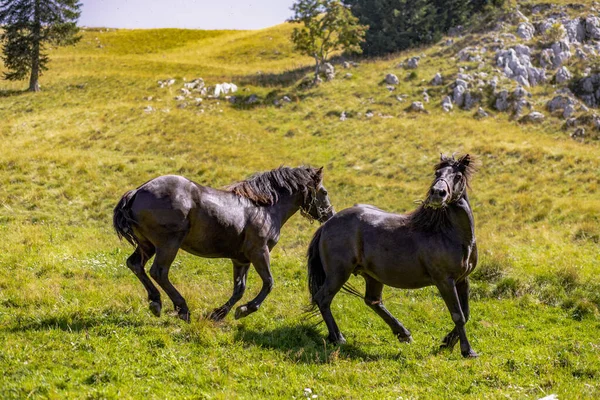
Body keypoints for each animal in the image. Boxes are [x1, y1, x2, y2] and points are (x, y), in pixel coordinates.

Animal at [113, 166, 336, 322]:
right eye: (324, 192)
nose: (330, 215)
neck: (264, 208)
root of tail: (137, 192)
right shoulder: (259, 252)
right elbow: (268, 283)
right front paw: (245, 310)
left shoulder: (241, 260)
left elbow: (239, 289)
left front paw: (218, 314)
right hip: (168, 244)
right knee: (159, 272)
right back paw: (182, 308)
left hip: (147, 245)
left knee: (135, 265)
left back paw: (155, 302)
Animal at [308, 155, 480, 358]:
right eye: (437, 173)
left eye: (458, 176)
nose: (437, 193)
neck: (449, 234)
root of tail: (327, 224)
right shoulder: (444, 281)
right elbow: (458, 315)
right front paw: (467, 351)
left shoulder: (462, 279)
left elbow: (466, 314)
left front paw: (447, 343)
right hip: (338, 274)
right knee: (323, 298)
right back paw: (338, 338)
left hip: (371, 276)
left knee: (372, 301)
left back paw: (403, 334)